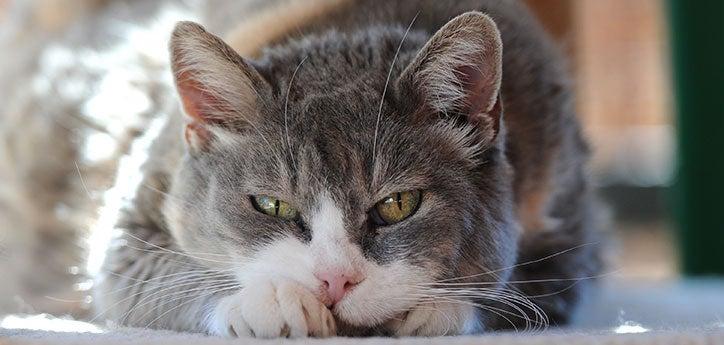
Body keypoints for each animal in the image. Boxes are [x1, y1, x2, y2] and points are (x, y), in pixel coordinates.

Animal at [94, 0, 600, 336]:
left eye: (399, 204)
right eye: (271, 204)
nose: (333, 281)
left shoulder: (569, 222)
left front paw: (436, 308)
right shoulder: (143, 203)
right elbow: (141, 273)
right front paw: (269, 302)